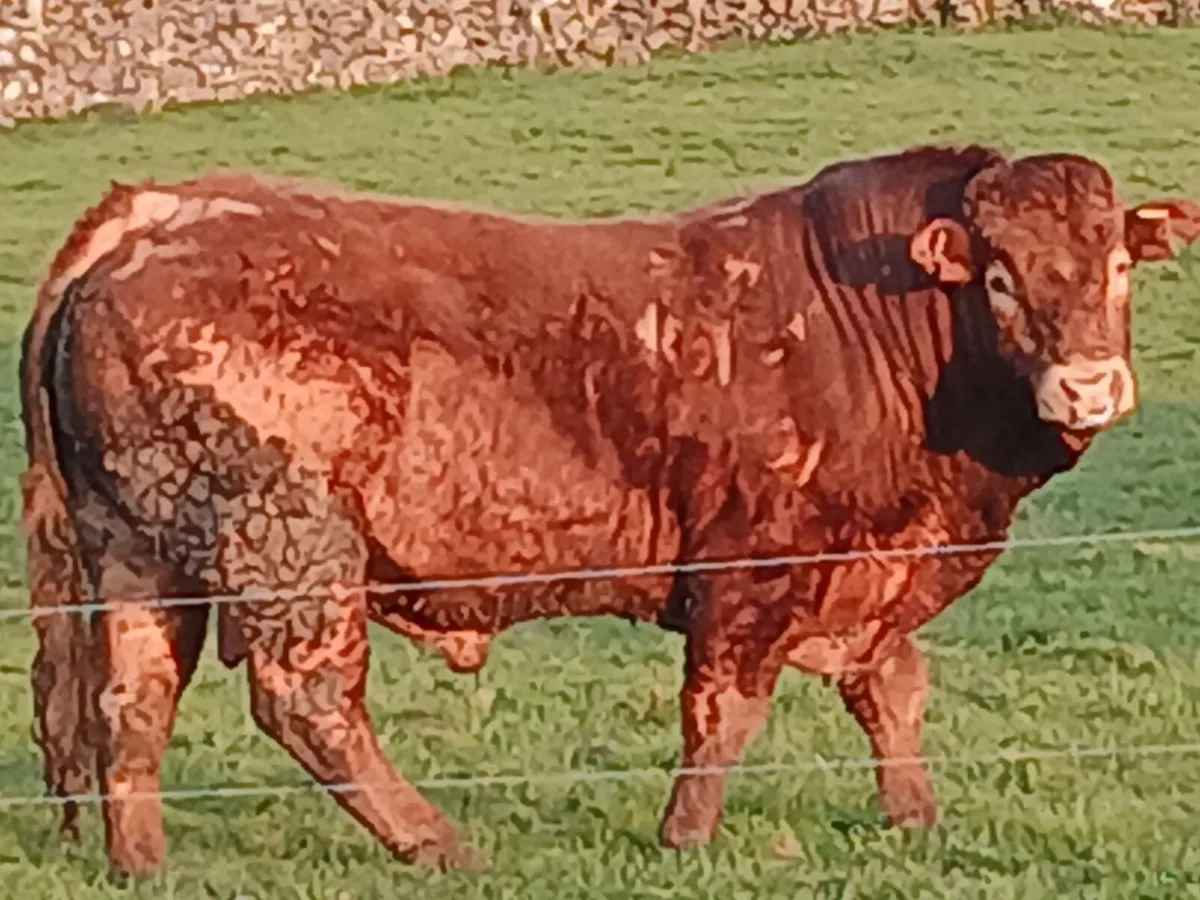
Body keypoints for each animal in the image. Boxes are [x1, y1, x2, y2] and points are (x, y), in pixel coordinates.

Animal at [19, 145, 1200, 878]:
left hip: (140, 555)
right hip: (290, 547)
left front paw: (914, 817)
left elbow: (892, 693)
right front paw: (685, 837)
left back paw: (143, 862)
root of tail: (153, 210)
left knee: (131, 701)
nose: (1089, 386)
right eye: (1000, 278)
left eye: (1117, 268)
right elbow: (722, 714)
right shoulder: (753, 573)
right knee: (307, 702)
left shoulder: (871, 573)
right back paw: (438, 843)